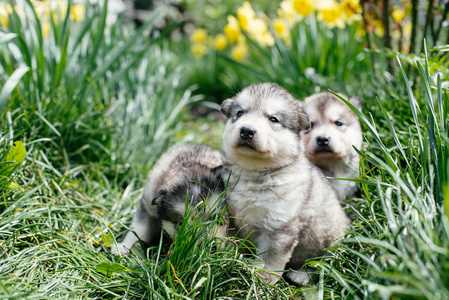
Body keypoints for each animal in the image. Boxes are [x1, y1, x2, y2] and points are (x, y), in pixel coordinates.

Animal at [220, 83, 350, 284]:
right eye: (239, 113)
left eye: (273, 119)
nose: (247, 131)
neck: (254, 172)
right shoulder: (233, 216)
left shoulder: (278, 228)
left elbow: (268, 264)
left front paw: (262, 284)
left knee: (320, 262)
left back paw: (301, 274)